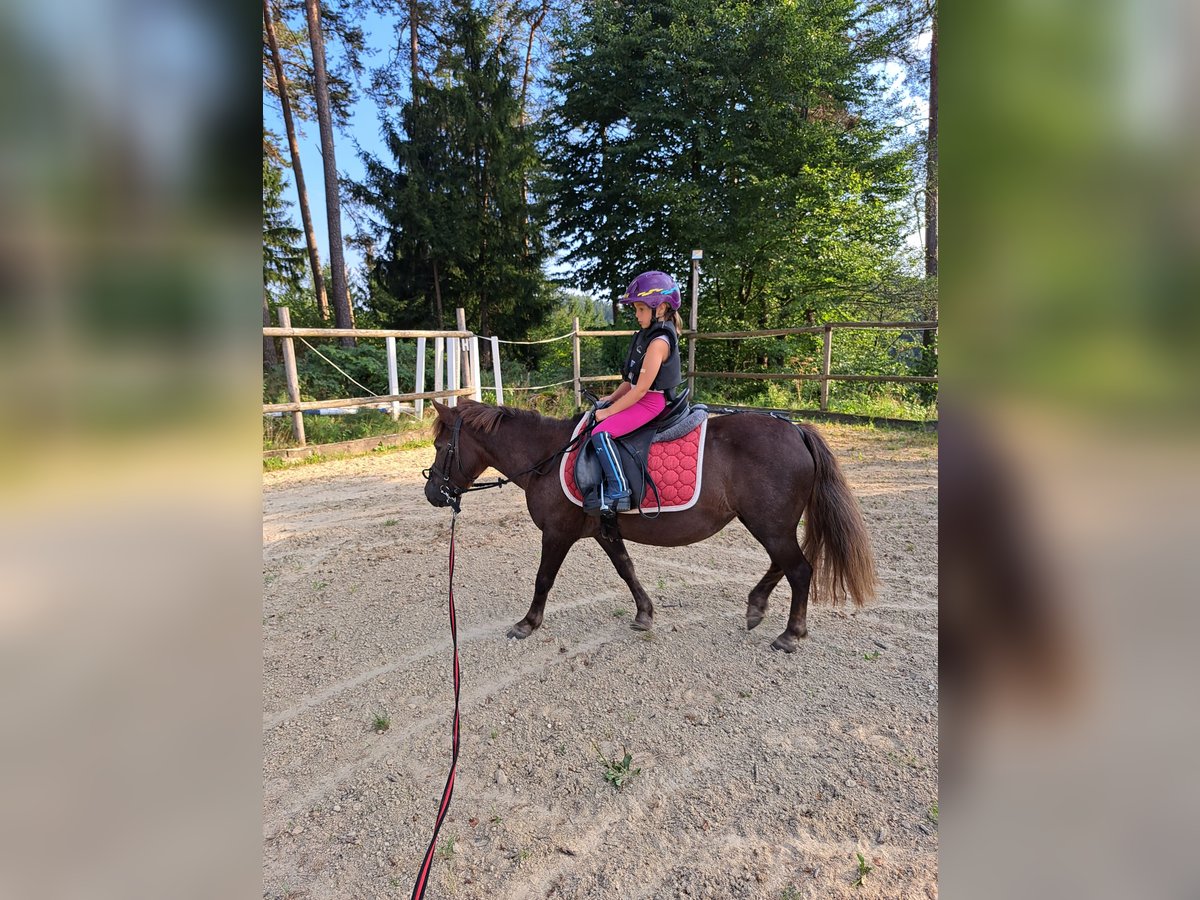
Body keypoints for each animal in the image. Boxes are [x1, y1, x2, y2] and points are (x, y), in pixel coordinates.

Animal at [427, 400, 878, 648]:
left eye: (439, 445)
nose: (433, 493)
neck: (549, 457)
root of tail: (796, 430)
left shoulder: (557, 534)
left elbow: (543, 579)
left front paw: (527, 624)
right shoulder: (603, 531)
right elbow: (627, 569)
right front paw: (645, 613)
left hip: (771, 525)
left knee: (799, 569)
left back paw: (790, 634)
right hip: (771, 524)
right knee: (783, 565)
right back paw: (756, 606)